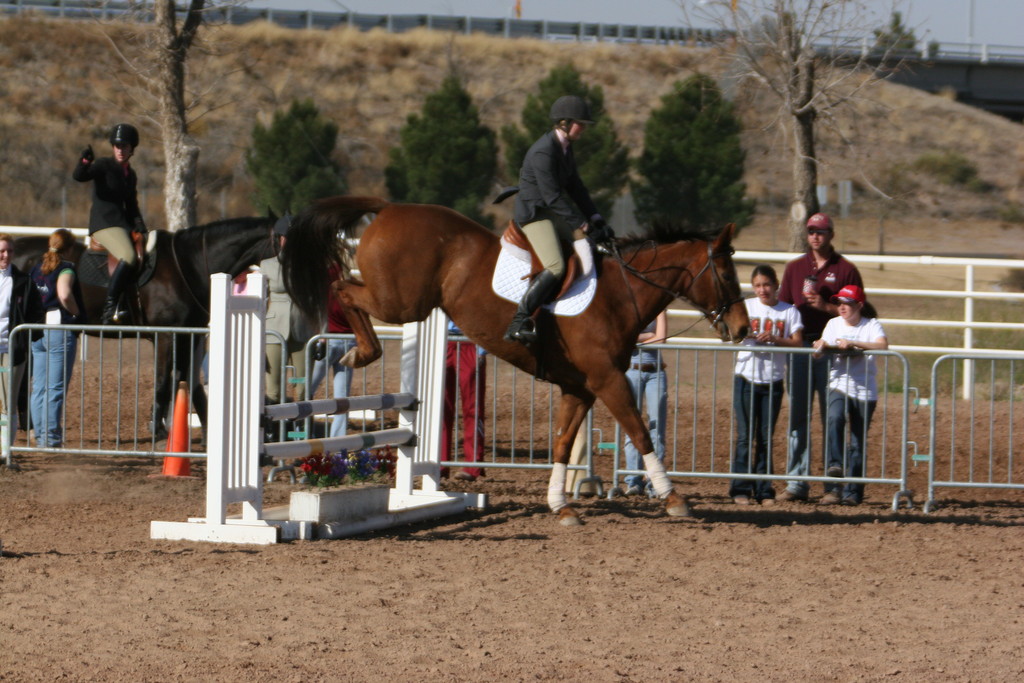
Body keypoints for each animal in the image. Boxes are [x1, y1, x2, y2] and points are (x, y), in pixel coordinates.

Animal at [16, 220, 280, 444]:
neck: (188, 265)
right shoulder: (166, 335)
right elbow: (164, 380)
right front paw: (158, 429)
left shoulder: (187, 335)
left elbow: (185, 380)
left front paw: (199, 434)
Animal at [284, 194, 749, 528]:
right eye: (727, 274)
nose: (744, 329)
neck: (619, 294)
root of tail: (390, 207)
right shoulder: (609, 380)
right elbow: (640, 432)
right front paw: (674, 498)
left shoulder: (580, 388)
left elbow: (562, 443)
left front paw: (560, 505)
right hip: (400, 301)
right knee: (343, 289)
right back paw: (361, 351)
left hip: (408, 302)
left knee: (347, 290)